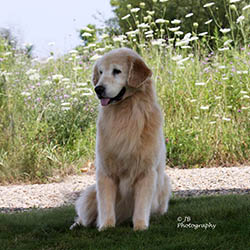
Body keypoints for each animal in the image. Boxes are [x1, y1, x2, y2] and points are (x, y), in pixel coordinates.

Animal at [71, 47, 171, 231]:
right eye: (101, 72)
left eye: (116, 71)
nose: (98, 88)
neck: (126, 113)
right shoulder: (105, 171)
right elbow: (106, 205)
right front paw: (106, 226)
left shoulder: (146, 172)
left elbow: (141, 206)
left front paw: (140, 226)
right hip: (90, 194)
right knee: (85, 216)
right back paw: (78, 224)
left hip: (165, 184)